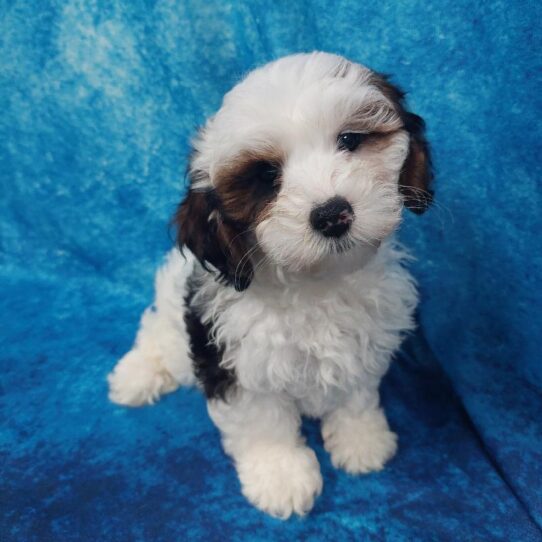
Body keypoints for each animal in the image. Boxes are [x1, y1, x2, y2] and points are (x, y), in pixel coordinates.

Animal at [108, 53, 436, 520]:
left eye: (350, 140)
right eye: (265, 176)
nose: (332, 214)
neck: (317, 283)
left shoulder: (365, 340)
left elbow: (355, 394)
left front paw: (361, 439)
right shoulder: (233, 358)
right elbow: (262, 420)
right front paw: (281, 475)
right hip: (174, 316)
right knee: (157, 334)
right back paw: (136, 374)